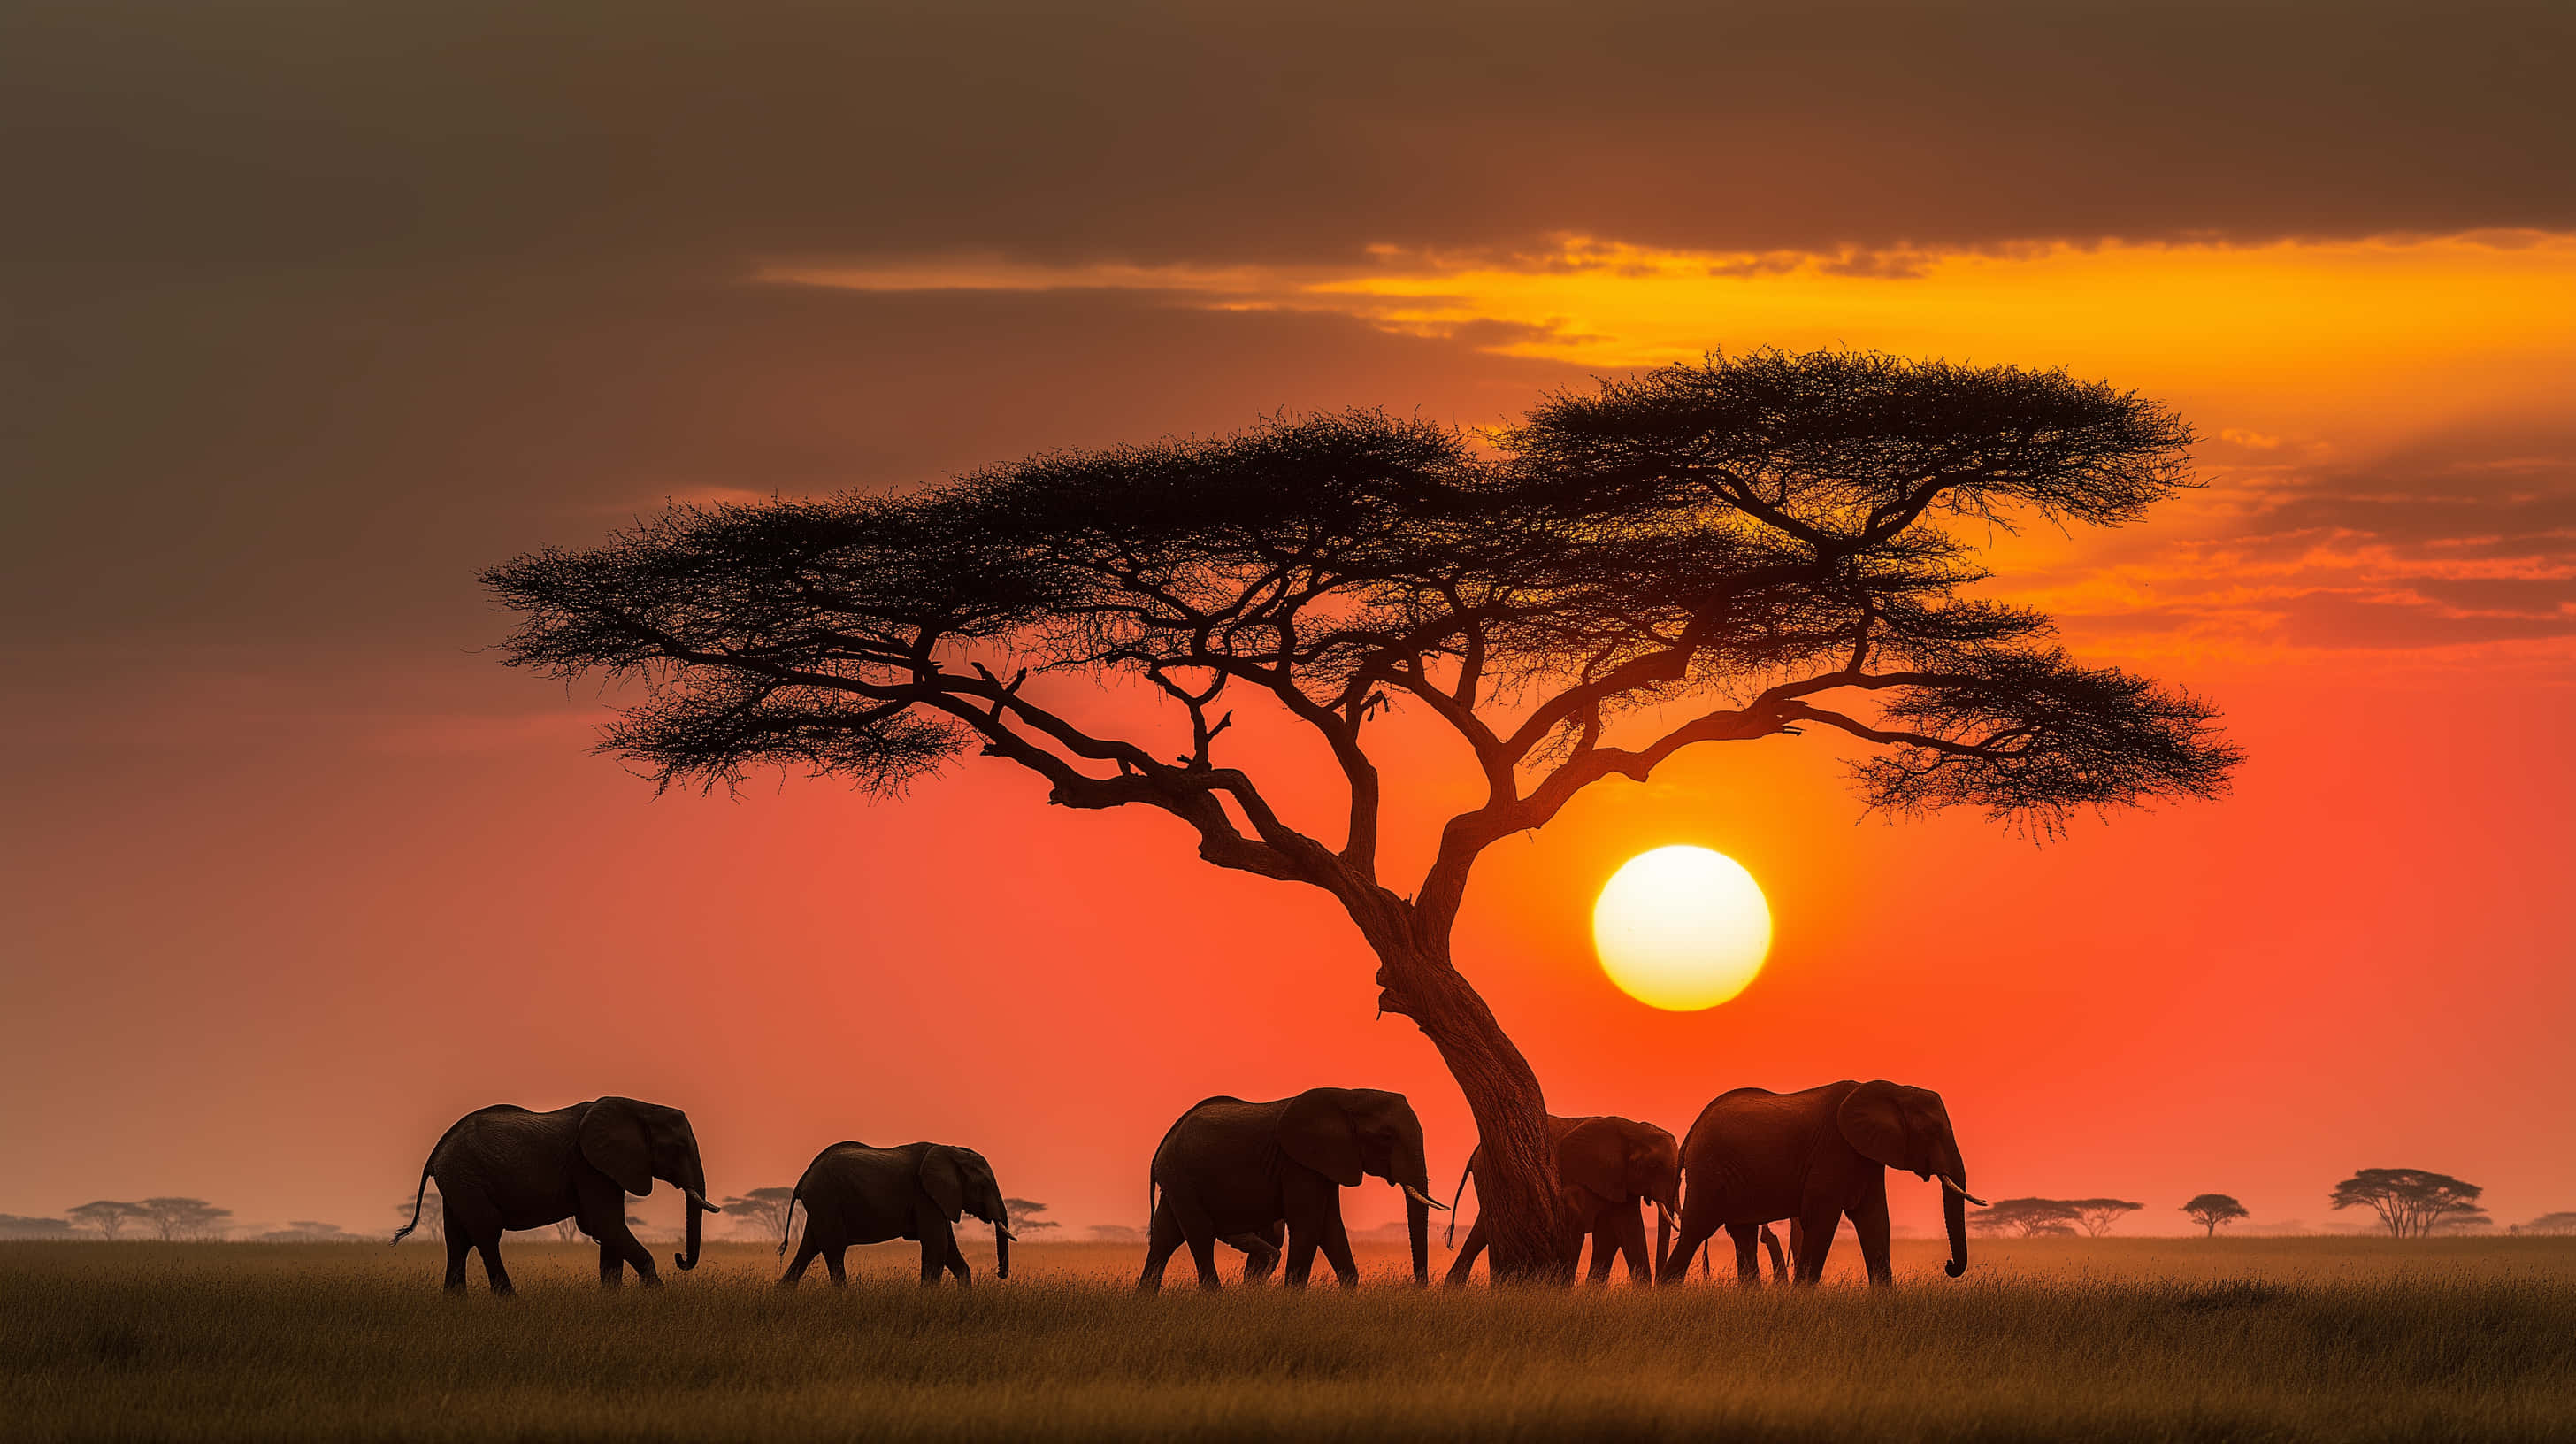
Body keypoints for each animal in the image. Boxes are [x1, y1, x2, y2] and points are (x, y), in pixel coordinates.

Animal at [393, 1097, 720, 1294]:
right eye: (677, 1148)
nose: (679, 1257)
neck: (640, 1107)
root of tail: (436, 1151)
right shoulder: (588, 1164)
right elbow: (606, 1223)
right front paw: (657, 1295)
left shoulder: (605, 1166)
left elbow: (606, 1230)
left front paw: (611, 1299)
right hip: (466, 1175)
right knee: (486, 1233)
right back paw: (509, 1300)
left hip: (457, 1181)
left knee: (457, 1239)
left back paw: (455, 1302)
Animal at [778, 1141, 1015, 1286]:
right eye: (984, 1185)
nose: (1000, 1273)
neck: (950, 1150)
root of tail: (805, 1176)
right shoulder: (925, 1196)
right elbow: (937, 1246)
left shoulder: (939, 1200)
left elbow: (948, 1248)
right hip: (826, 1198)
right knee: (834, 1250)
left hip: (821, 1205)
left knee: (809, 1247)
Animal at [1139, 1089, 1447, 1291]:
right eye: (1386, 1136)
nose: (1419, 1288)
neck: (1348, 1095)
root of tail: (1165, 1140)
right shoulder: (1298, 1163)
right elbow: (1309, 1224)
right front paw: (1294, 1300)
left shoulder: (1327, 1162)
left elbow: (1330, 1226)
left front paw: (1348, 1294)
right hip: (1182, 1176)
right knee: (1199, 1234)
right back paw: (1214, 1296)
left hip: (1176, 1180)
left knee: (1165, 1237)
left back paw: (1144, 1299)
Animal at [1442, 1113, 1680, 1285]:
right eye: (1654, 1165)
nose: (1659, 1285)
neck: (1634, 1130)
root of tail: (1477, 1150)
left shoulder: (1621, 1181)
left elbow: (1627, 1228)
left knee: (1481, 1228)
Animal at [1657, 1080, 1981, 1286]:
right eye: (1932, 1130)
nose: (1948, 1266)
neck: (1893, 1091)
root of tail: (1693, 1130)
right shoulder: (1834, 1149)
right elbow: (1822, 1218)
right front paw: (1801, 1298)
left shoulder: (1866, 1155)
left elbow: (1875, 1219)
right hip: (1710, 1171)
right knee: (1696, 1230)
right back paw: (1667, 1292)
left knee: (1742, 1234)